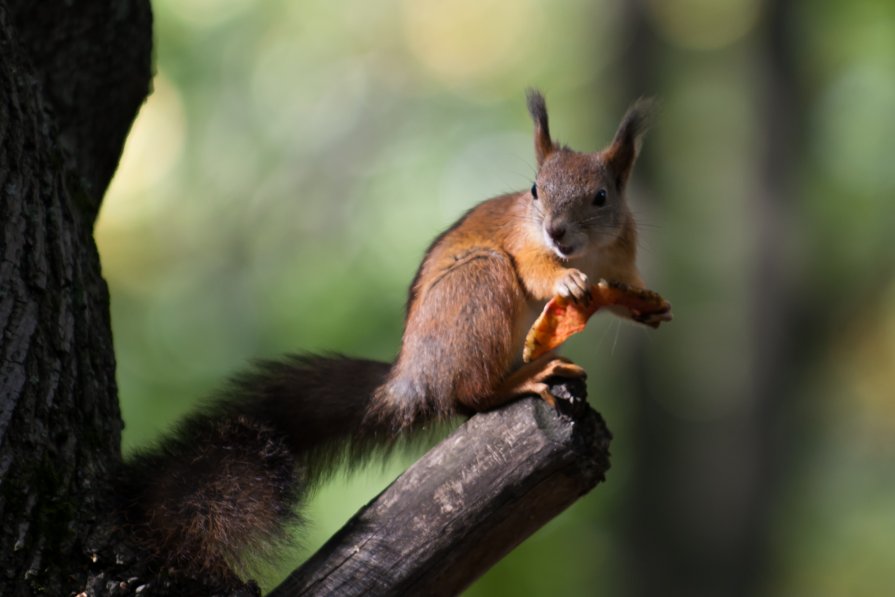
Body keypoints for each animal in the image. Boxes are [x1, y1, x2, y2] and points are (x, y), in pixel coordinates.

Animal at [115, 91, 656, 588]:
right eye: (535, 191)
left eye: (601, 197)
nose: (556, 231)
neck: (587, 254)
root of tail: (414, 376)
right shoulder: (523, 245)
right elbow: (538, 270)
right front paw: (566, 282)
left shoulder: (620, 260)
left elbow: (623, 289)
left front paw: (647, 307)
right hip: (479, 284)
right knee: (471, 395)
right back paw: (522, 378)